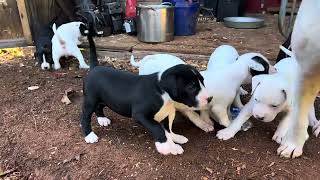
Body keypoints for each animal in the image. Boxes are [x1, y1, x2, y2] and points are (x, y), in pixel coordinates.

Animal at [81, 63, 209, 155]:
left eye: (203, 81)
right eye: (191, 87)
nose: (210, 98)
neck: (161, 90)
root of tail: (94, 68)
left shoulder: (165, 113)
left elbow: (167, 129)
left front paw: (174, 140)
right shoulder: (140, 115)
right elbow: (158, 128)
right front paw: (165, 146)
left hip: (104, 99)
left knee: (99, 107)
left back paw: (102, 119)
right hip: (90, 100)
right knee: (85, 117)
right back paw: (89, 135)